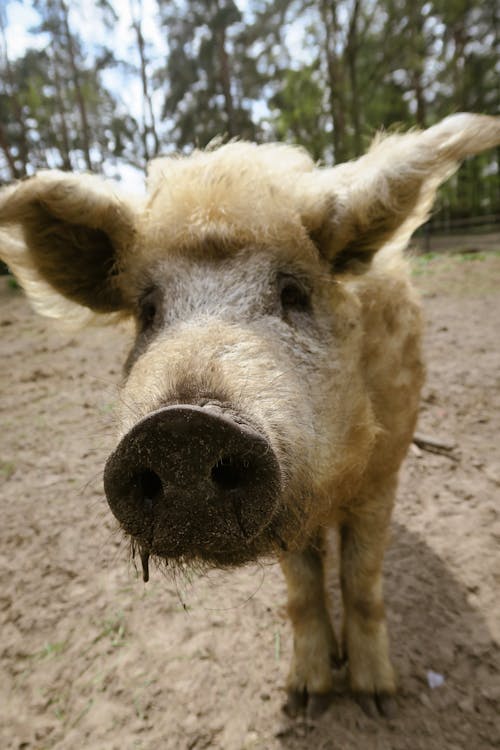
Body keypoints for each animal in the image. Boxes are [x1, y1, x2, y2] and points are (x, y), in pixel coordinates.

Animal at [0, 113, 498, 724]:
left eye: (293, 293)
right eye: (147, 310)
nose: (182, 428)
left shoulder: (384, 474)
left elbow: (361, 581)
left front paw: (379, 703)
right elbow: (302, 589)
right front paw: (306, 703)